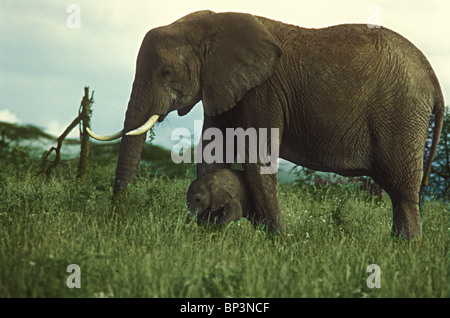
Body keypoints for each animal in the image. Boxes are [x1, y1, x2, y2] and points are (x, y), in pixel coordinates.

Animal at [87, 9, 442, 238]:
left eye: (166, 73)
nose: (117, 218)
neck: (211, 24)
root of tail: (432, 77)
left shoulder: (262, 91)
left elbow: (257, 160)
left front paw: (276, 242)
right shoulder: (224, 85)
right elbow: (213, 154)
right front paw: (209, 233)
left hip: (402, 112)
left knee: (403, 191)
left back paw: (405, 250)